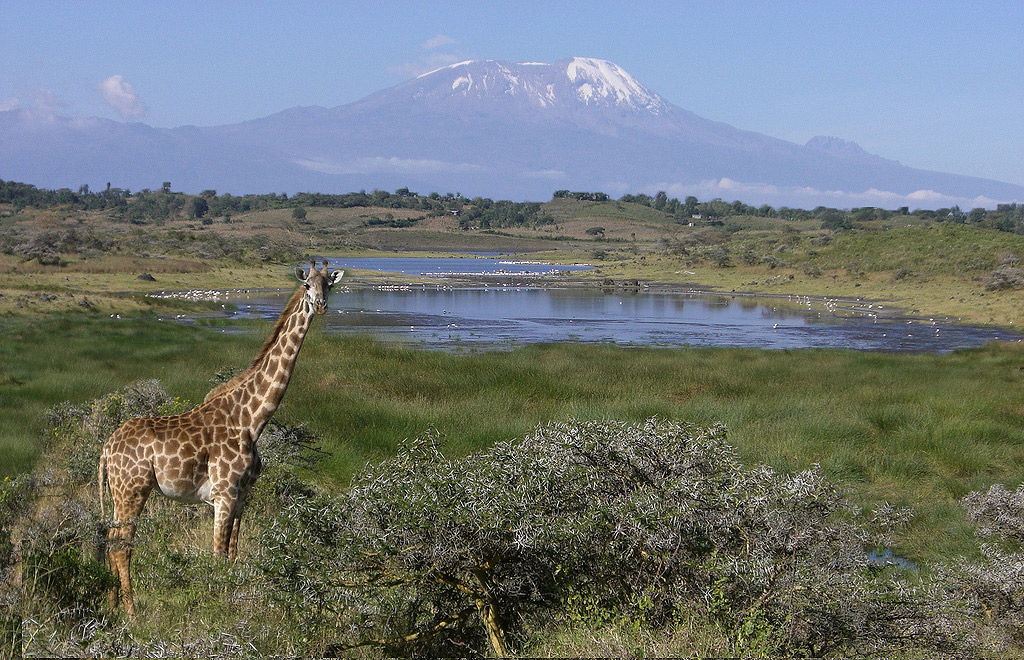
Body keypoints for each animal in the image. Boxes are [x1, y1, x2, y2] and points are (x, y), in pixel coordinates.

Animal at [98, 261, 343, 614]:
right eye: (307, 285)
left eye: (330, 285)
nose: (321, 306)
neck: (252, 420)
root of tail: (106, 448)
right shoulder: (223, 496)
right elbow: (216, 556)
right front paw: (216, 607)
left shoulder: (241, 498)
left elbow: (232, 555)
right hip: (132, 490)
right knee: (121, 545)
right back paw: (131, 612)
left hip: (121, 493)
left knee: (110, 542)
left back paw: (113, 605)